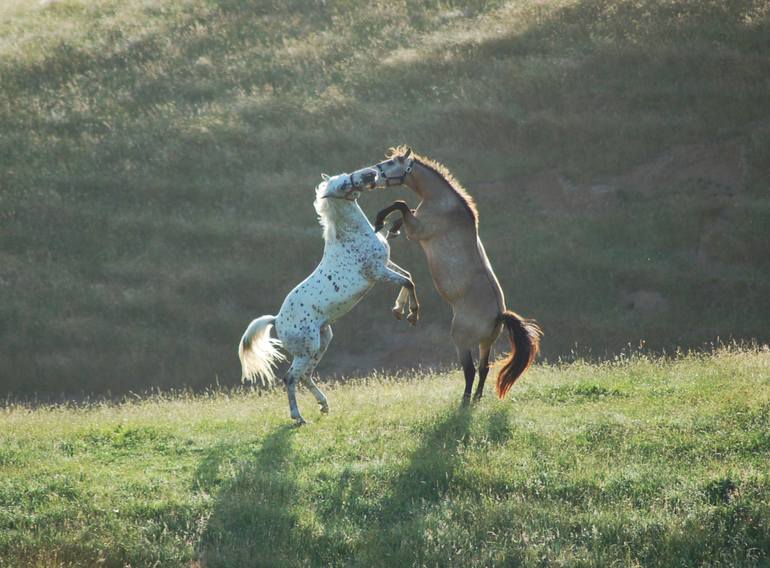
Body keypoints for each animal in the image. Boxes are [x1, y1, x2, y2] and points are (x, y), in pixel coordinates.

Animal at [350, 148, 540, 404]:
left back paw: (464, 401)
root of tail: (499, 316)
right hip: (485, 344)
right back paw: (477, 398)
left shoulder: (417, 230)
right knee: (484, 369)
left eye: (390, 163)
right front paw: (392, 228)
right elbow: (404, 211)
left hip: (462, 342)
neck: (443, 202)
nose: (372, 174)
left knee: (470, 370)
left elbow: (401, 205)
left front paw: (382, 220)